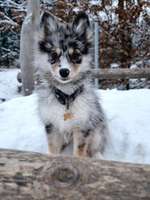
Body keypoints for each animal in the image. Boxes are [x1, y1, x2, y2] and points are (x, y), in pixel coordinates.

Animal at [34, 10, 108, 159]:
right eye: (53, 55)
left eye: (75, 55)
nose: (64, 71)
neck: (66, 96)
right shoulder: (51, 126)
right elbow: (53, 149)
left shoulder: (83, 126)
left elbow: (79, 152)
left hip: (97, 129)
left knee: (95, 148)